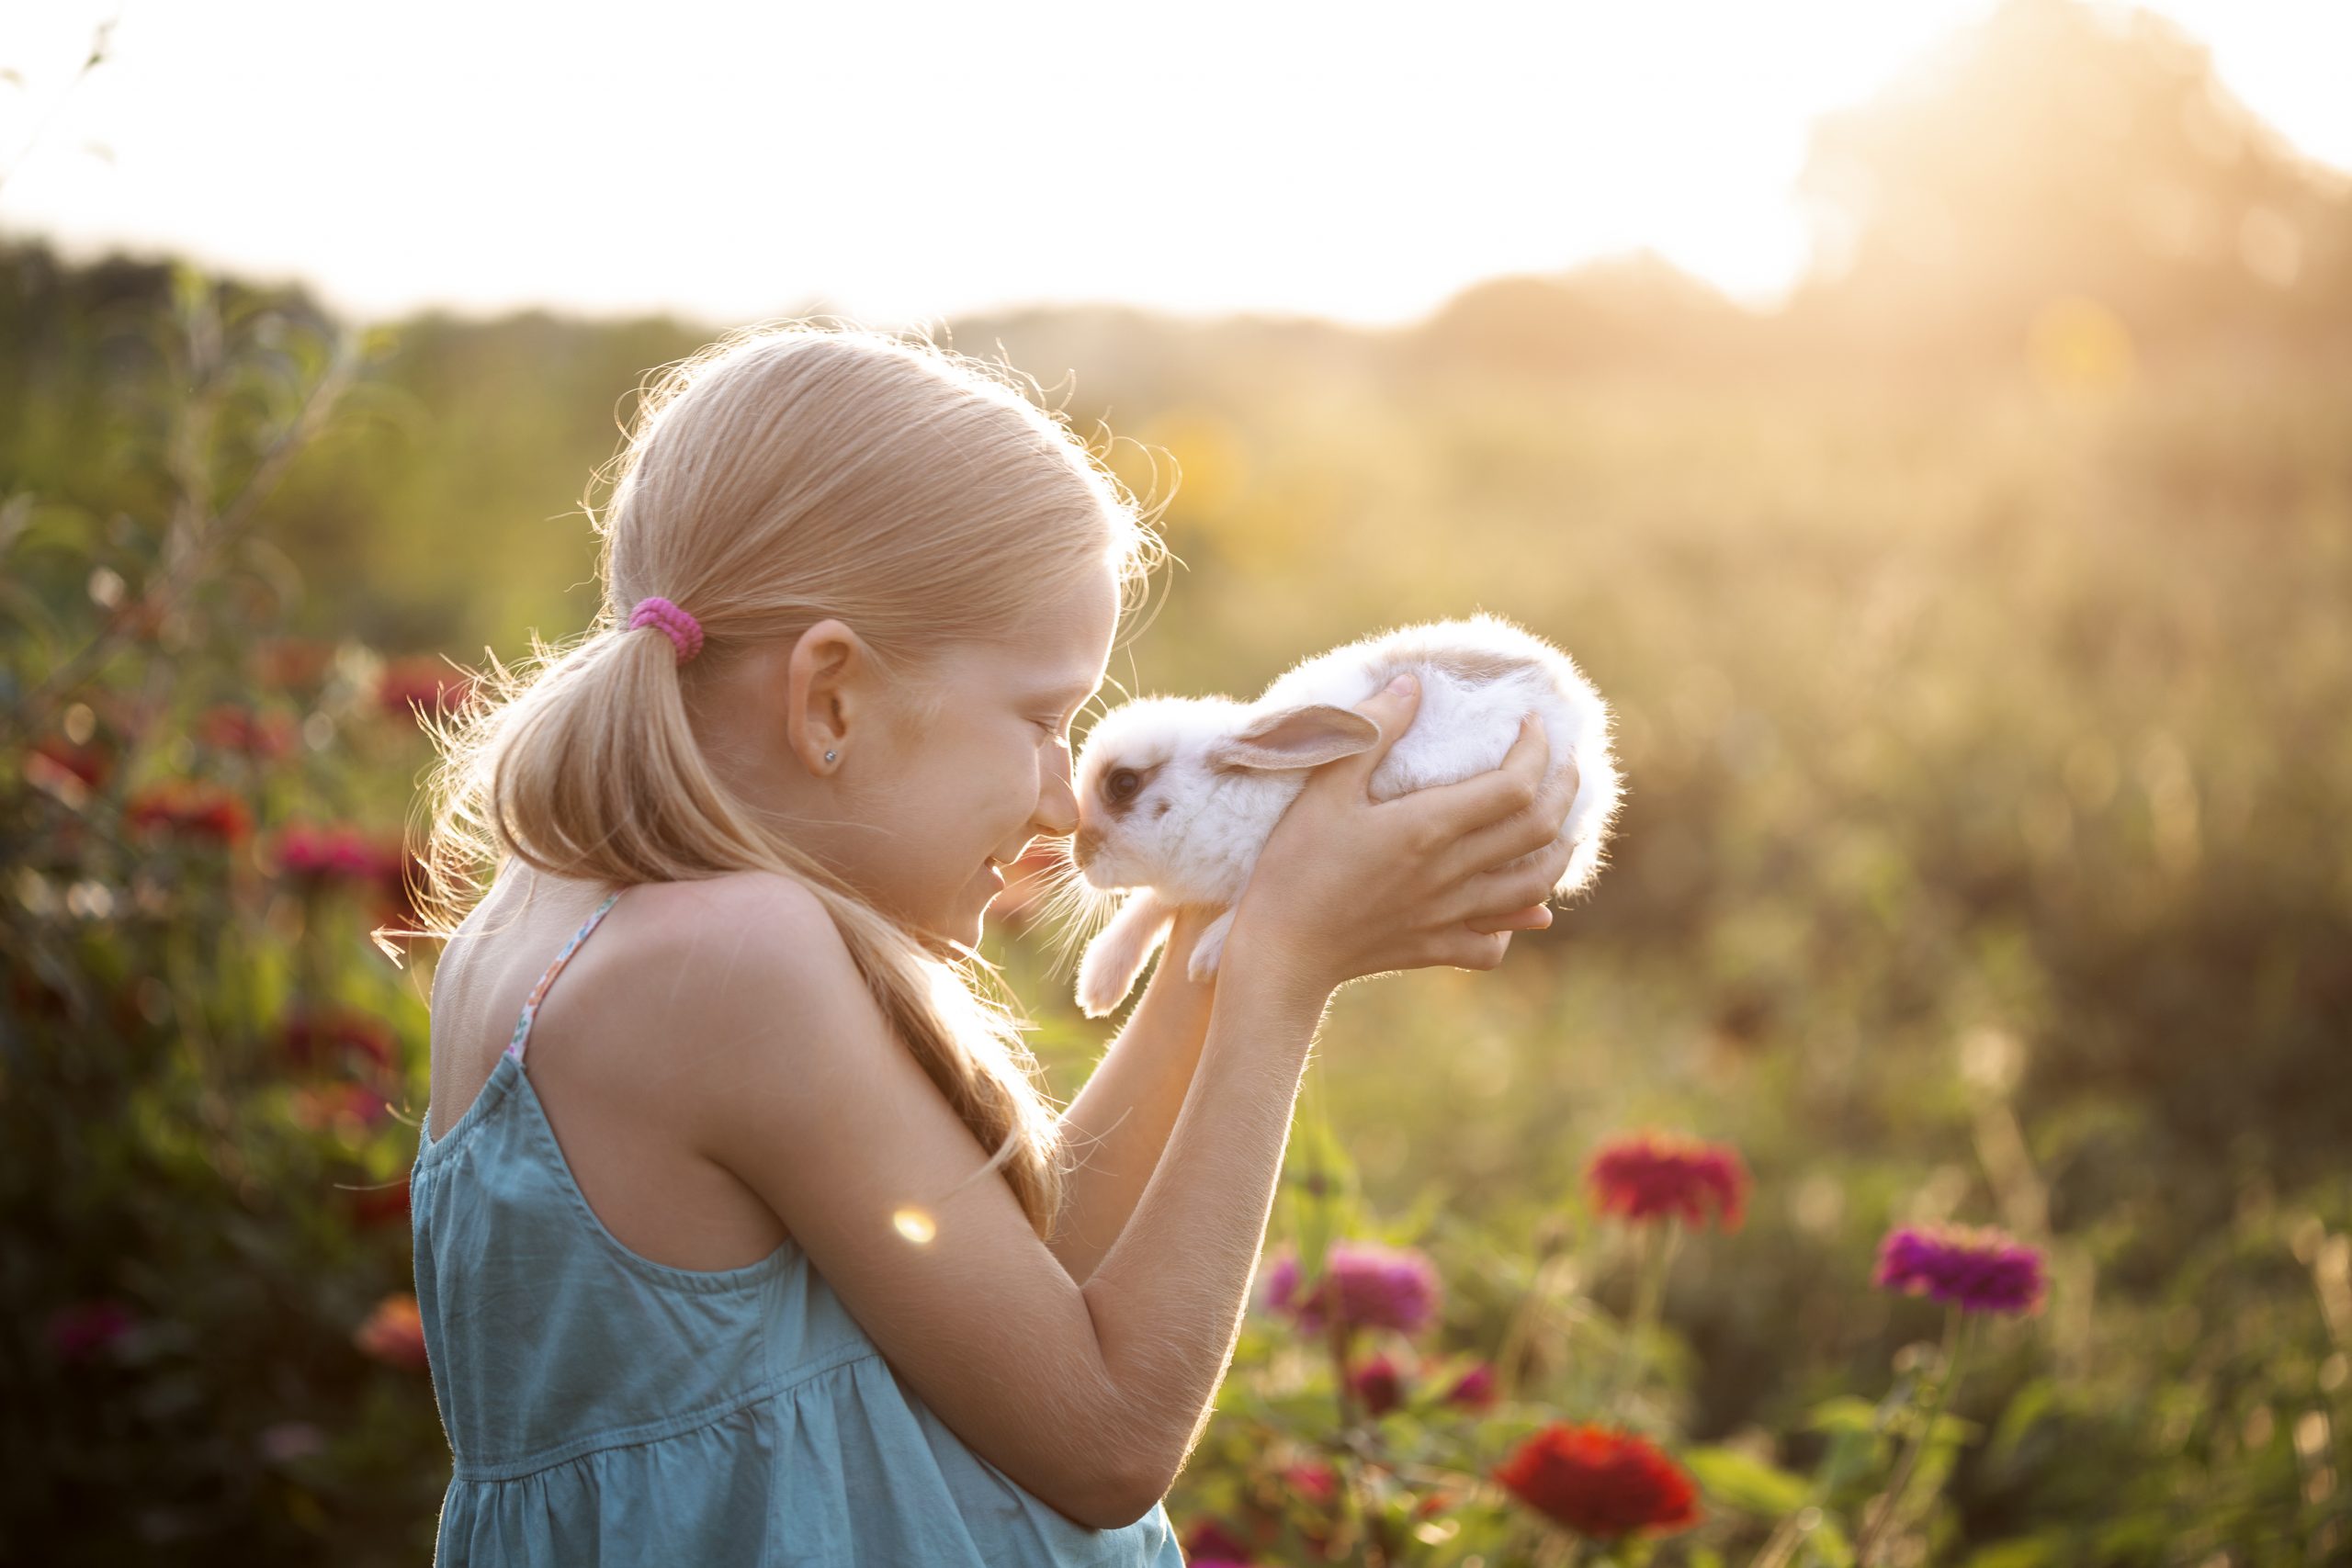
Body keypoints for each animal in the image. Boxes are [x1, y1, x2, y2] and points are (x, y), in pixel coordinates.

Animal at [1065, 611, 1622, 1017]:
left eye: (1123, 784)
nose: (1080, 857)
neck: (1222, 796)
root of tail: (1576, 706)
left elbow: (1231, 905)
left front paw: (1207, 956)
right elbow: (1148, 905)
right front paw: (1101, 983)